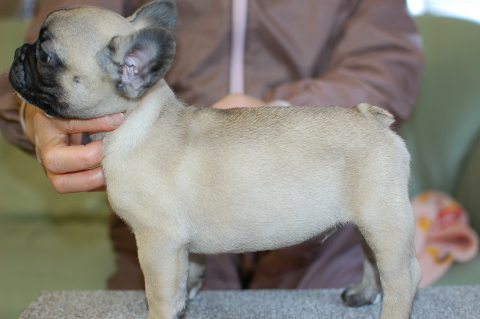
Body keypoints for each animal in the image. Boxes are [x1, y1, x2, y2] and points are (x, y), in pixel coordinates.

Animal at [7, 1, 420, 318]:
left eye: (45, 56)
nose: (17, 51)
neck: (138, 119)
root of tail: (370, 117)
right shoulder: (180, 246)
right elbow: (187, 274)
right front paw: (186, 299)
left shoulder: (157, 242)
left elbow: (159, 291)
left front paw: (163, 312)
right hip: (366, 222)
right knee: (372, 262)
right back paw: (363, 294)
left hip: (385, 220)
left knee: (403, 276)